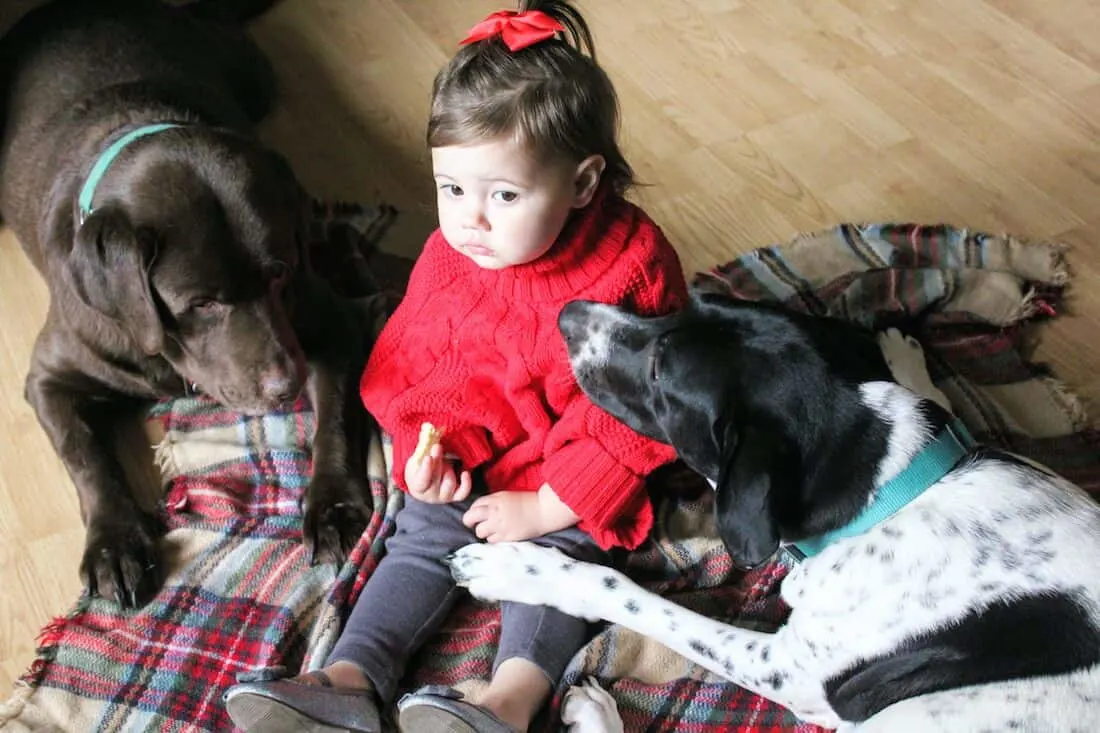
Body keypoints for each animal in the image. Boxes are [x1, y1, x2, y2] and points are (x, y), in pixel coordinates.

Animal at [0, 0, 374, 603]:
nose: (286, 386)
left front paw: (334, 506)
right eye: (200, 303)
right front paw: (114, 542)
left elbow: (336, 417)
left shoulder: (331, 322)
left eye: (280, 273)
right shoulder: (48, 378)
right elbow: (86, 454)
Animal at [446, 294, 1100, 726]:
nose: (566, 314)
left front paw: (519, 569)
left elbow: (630, 596)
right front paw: (904, 356)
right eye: (686, 304)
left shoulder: (788, 671)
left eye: (659, 369)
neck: (892, 489)